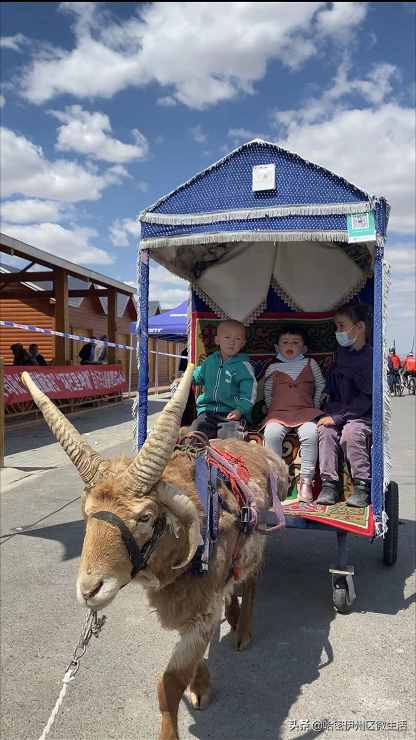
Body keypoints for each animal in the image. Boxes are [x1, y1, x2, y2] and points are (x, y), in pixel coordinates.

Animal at [22, 368, 288, 740]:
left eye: (146, 517)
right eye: (86, 513)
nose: (90, 590)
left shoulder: (200, 609)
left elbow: (169, 683)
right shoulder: (192, 607)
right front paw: (201, 685)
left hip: (258, 546)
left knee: (249, 584)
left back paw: (243, 632)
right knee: (232, 587)